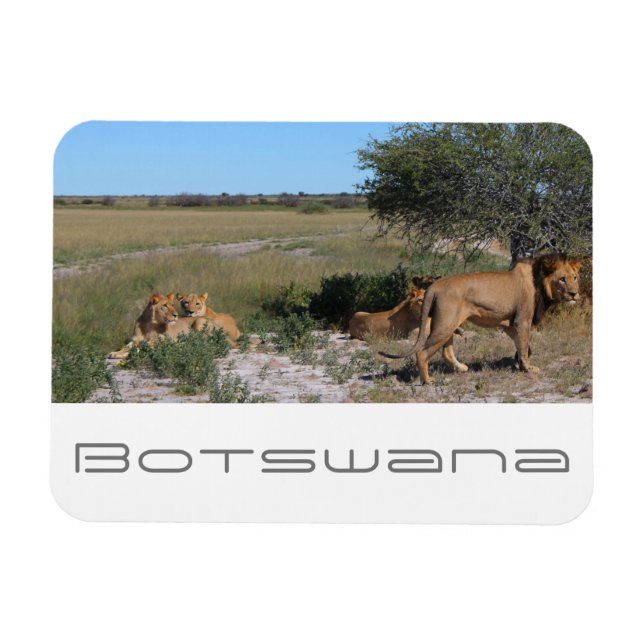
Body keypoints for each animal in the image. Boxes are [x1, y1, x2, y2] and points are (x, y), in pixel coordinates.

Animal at [380, 254, 582, 384]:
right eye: (562, 279)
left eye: (575, 277)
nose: (575, 294)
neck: (540, 281)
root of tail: (433, 286)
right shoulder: (522, 320)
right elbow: (524, 346)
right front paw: (528, 368)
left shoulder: (510, 324)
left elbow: (522, 346)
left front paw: (519, 364)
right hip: (445, 324)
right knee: (422, 352)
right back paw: (427, 380)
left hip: (449, 323)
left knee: (446, 352)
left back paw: (461, 368)